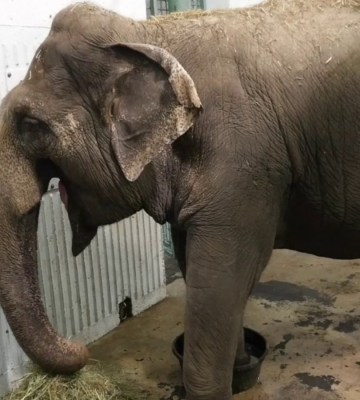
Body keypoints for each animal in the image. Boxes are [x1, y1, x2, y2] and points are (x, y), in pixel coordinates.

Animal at [0, 0, 358, 398]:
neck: (147, 35)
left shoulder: (243, 170)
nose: (80, 350)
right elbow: (203, 275)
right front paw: (239, 370)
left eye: (31, 124)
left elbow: (217, 285)